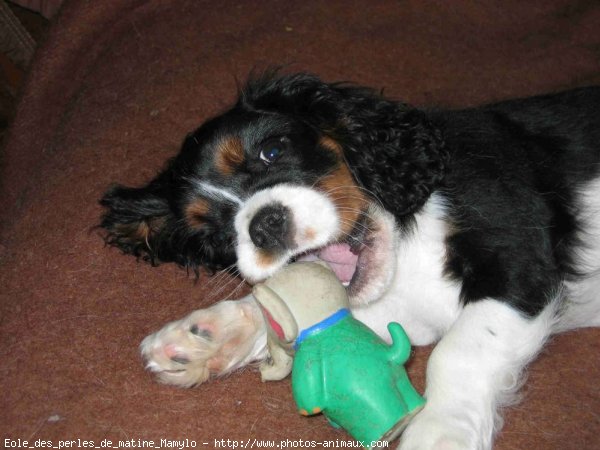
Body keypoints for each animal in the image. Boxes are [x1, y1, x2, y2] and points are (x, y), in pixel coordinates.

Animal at [99, 71, 600, 450]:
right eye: (212, 232)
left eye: (272, 150)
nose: (263, 225)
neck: (404, 237)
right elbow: (286, 309)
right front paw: (204, 337)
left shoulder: (521, 259)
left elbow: (458, 351)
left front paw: (439, 434)